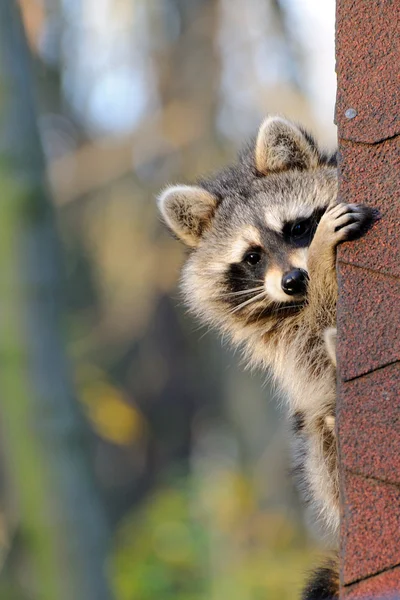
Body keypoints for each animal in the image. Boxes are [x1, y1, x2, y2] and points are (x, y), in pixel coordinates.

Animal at [159, 117, 376, 596]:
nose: (295, 279)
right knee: (319, 435)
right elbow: (310, 349)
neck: (296, 302)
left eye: (295, 228)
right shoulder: (280, 342)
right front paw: (323, 262)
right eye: (253, 256)